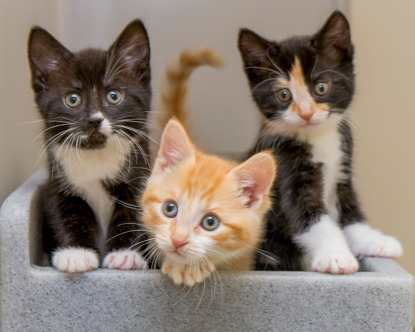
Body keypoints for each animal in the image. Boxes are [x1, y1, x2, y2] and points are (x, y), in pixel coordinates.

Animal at [28, 19, 154, 272]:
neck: (97, 158)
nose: (94, 120)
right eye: (73, 99)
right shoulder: (56, 182)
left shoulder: (141, 175)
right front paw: (75, 254)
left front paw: (126, 255)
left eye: (114, 96)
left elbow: (136, 212)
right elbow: (63, 211)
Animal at [239, 11, 404, 274]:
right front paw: (335, 256)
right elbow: (312, 219)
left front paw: (375, 241)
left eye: (321, 87)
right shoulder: (285, 171)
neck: (319, 139)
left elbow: (351, 212)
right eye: (283, 94)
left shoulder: (343, 168)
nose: (306, 113)